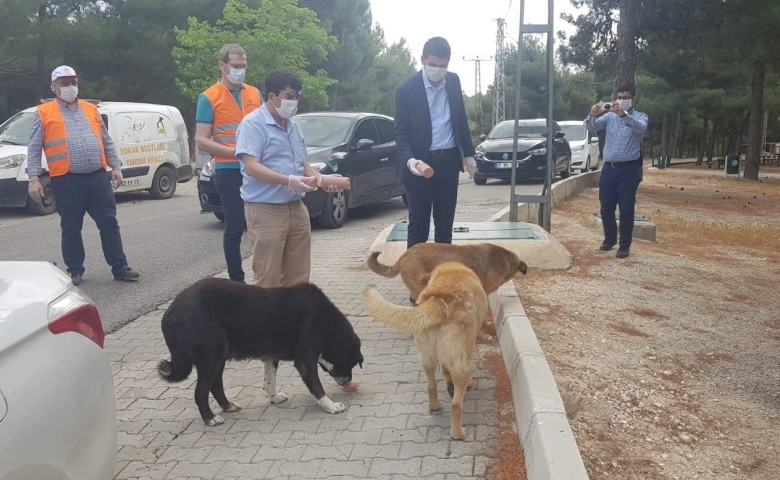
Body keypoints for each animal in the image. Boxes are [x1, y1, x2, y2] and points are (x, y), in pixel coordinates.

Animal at [161, 276, 366, 426]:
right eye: (350, 364)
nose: (348, 381)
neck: (329, 323)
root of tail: (171, 311)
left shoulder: (270, 356)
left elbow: (269, 382)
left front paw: (274, 399)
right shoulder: (305, 361)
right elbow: (317, 388)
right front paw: (331, 406)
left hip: (219, 356)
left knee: (215, 384)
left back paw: (227, 406)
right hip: (213, 356)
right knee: (201, 391)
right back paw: (210, 418)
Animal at [362, 260, 488, 440]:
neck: (451, 270)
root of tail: (439, 301)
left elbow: (444, 370)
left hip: (427, 358)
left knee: (431, 385)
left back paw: (435, 405)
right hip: (461, 364)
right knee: (456, 403)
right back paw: (458, 432)